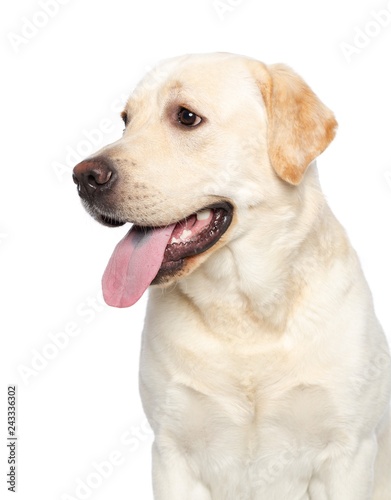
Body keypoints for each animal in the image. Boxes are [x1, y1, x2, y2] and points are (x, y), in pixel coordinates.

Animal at [74, 52, 391, 498]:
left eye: (186, 117)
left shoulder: (348, 452)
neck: (244, 311)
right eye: (126, 120)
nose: (83, 177)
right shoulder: (172, 453)